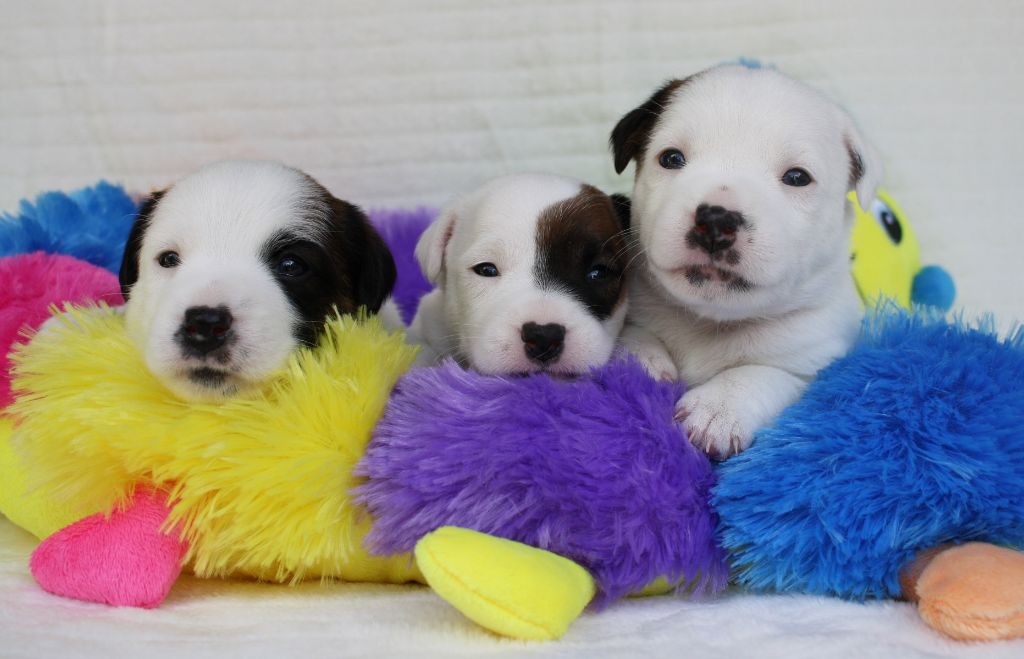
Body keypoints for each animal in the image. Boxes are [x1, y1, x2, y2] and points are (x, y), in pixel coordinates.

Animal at [606, 65, 880, 458]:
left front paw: (718, 409)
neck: (710, 321)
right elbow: (634, 332)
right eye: (671, 158)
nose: (715, 219)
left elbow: (763, 374)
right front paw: (640, 362)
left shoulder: (812, 364)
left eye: (797, 177)